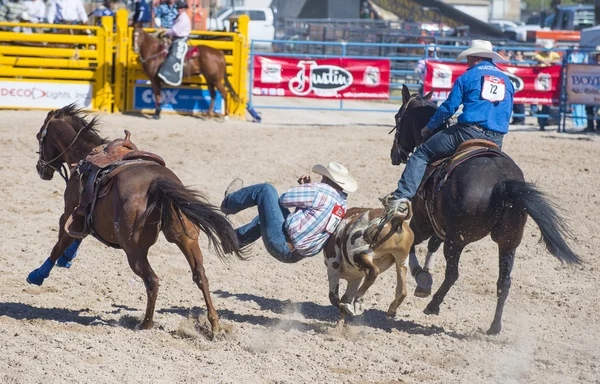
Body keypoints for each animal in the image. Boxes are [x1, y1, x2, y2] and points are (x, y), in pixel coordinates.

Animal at [29, 103, 245, 338]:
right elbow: (79, 235)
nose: (40, 169)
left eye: (40, 137)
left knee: (152, 281)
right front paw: (67, 258)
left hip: (134, 251)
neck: (84, 156)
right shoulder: (83, 215)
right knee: (200, 276)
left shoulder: (68, 212)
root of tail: (158, 183)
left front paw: (38, 274)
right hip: (186, 238)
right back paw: (215, 326)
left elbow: (59, 244)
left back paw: (145, 323)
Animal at [390, 85, 580, 334]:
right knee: (503, 282)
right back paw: (494, 327)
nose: (395, 155)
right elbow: (431, 245)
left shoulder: (424, 223)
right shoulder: (439, 225)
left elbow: (413, 244)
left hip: (458, 239)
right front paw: (425, 275)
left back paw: (433, 305)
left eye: (397, 117)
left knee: (453, 274)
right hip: (508, 242)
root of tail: (502, 182)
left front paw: (422, 279)